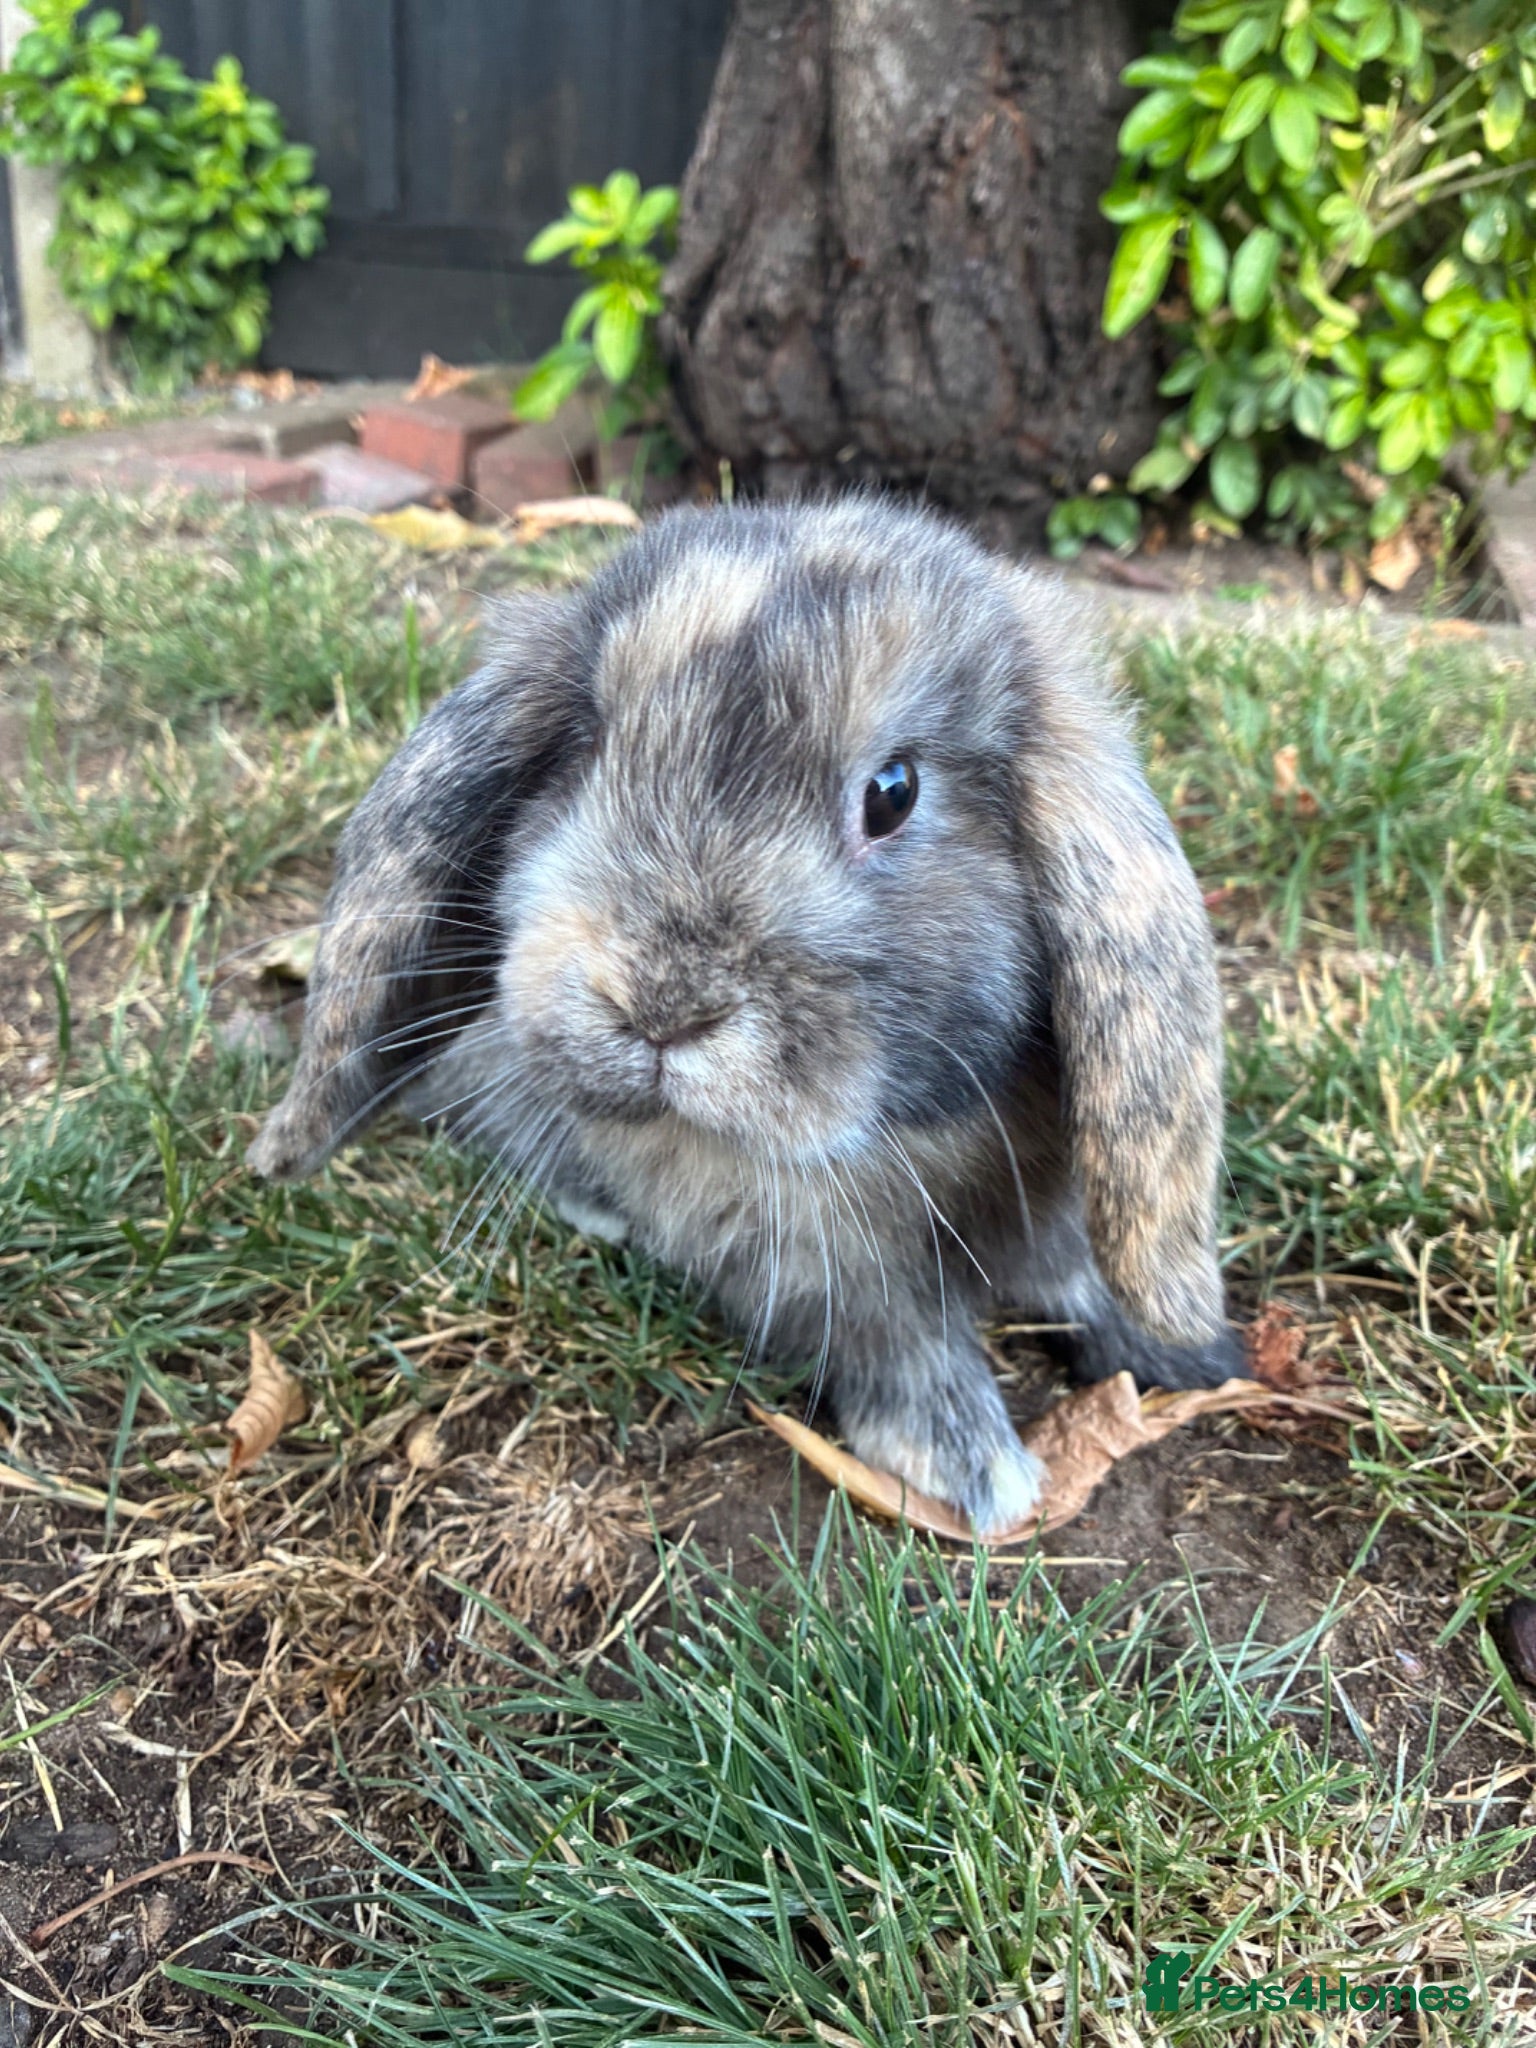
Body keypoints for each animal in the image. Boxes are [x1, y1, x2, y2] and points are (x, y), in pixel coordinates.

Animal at [248, 497, 1243, 1537]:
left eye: (894, 792)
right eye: (585, 749)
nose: (660, 1007)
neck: (910, 1135)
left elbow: (1073, 1275)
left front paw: (1185, 1359)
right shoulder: (809, 1264)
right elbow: (892, 1331)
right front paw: (965, 1464)